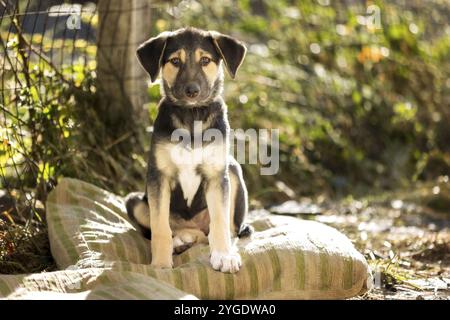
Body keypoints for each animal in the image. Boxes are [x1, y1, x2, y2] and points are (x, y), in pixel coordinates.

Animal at [126, 26, 251, 274]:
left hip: (232, 171)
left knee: (223, 230)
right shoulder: (158, 177)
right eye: (175, 61)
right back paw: (181, 240)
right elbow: (160, 228)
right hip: (135, 202)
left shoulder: (216, 175)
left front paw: (224, 256)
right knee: (178, 229)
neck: (192, 116)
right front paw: (160, 264)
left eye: (205, 60)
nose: (191, 91)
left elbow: (220, 222)